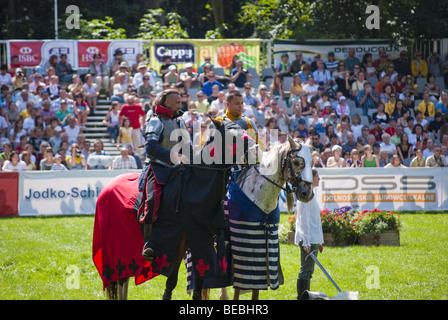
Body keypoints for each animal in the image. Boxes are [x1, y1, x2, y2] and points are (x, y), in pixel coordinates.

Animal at [92, 119, 260, 300]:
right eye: (232, 136)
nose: (256, 153)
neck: (194, 188)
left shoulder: (203, 240)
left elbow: (199, 284)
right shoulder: (176, 243)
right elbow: (171, 281)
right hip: (120, 251)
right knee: (122, 279)